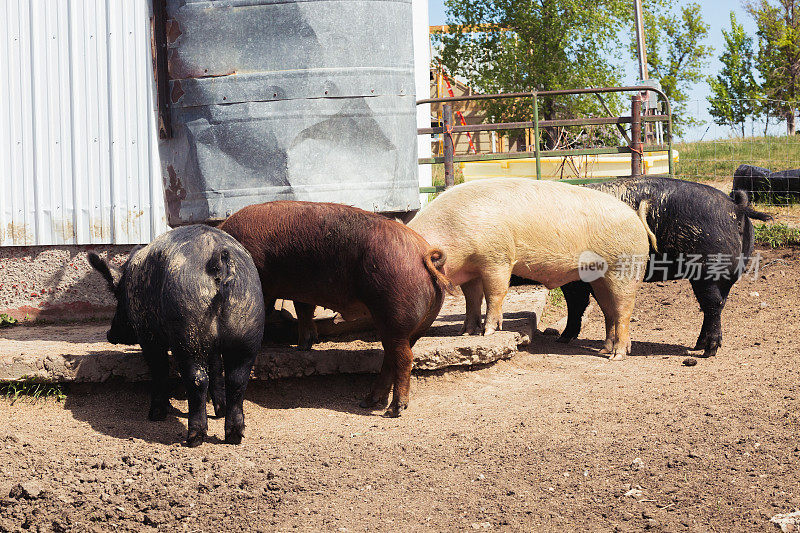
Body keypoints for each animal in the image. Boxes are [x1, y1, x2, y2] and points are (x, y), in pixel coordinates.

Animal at [222, 201, 454, 416]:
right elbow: (303, 309)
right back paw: (367, 402)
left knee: (404, 359)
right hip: (415, 325)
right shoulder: (303, 290)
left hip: (394, 315)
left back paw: (394, 410)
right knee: (392, 358)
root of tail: (424, 254)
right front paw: (304, 347)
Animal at [406, 178, 656, 358]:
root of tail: (635, 216)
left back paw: (617, 356)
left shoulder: (497, 257)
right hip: (599, 278)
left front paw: (488, 331)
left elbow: (495, 293)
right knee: (609, 311)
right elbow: (472, 300)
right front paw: (466, 332)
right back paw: (605, 349)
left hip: (625, 268)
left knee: (623, 310)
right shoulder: (470, 272)